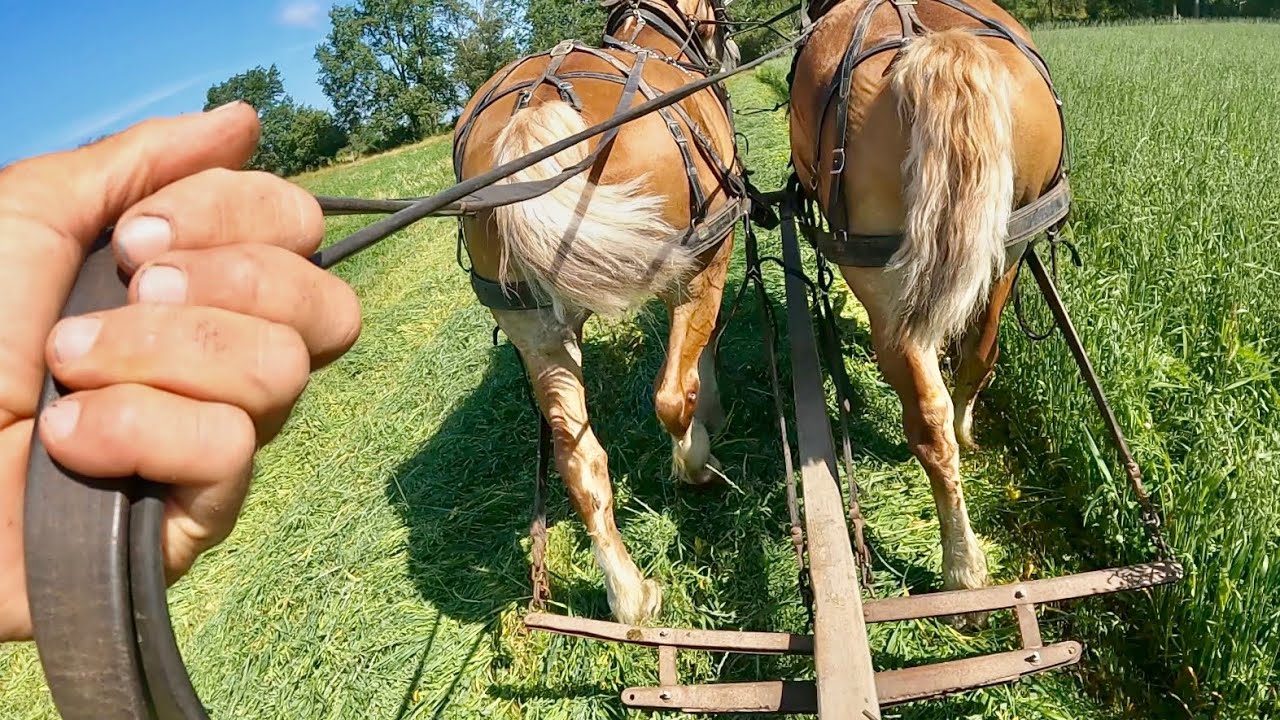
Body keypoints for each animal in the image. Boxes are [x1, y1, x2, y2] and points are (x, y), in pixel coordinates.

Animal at [451, 0, 742, 625]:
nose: (729, 48)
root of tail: (531, 111)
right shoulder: (712, 254)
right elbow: (698, 356)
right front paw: (713, 413)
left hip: (533, 326)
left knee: (576, 457)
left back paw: (629, 596)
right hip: (697, 257)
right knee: (670, 395)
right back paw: (696, 465)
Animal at [786, 0, 1068, 605]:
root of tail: (937, 50)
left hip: (883, 283)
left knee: (926, 414)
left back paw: (961, 567)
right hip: (1008, 245)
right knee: (980, 354)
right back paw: (966, 435)